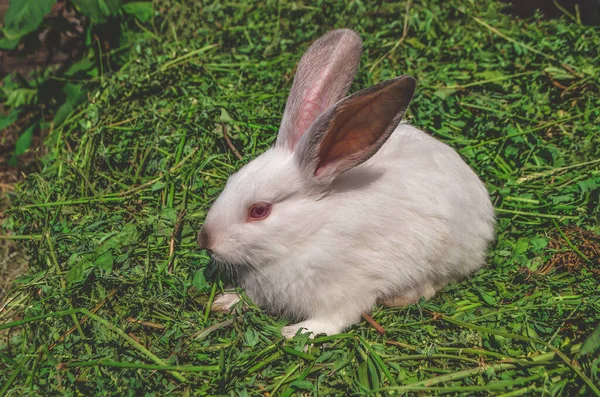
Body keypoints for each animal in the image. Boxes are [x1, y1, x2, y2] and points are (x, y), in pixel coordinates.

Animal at [199, 28, 494, 338]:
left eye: (259, 210)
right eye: (231, 180)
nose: (205, 240)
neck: (307, 232)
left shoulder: (346, 290)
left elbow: (333, 320)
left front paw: (294, 332)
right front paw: (225, 301)